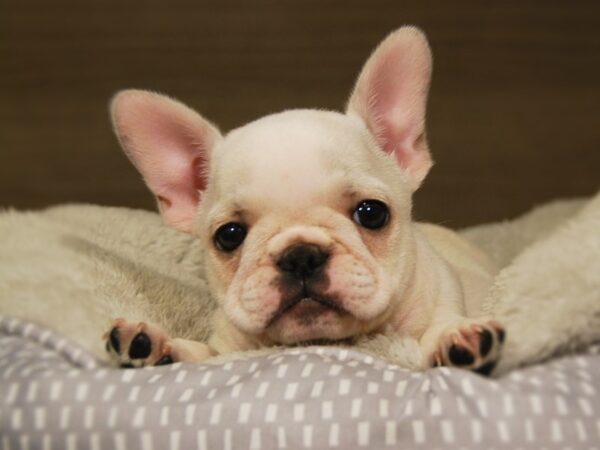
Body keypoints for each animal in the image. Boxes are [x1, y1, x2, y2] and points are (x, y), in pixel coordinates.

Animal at [105, 26, 504, 374]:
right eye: (229, 236)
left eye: (372, 214)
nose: (300, 255)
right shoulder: (224, 348)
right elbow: (202, 354)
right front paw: (157, 347)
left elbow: (437, 331)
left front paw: (456, 341)